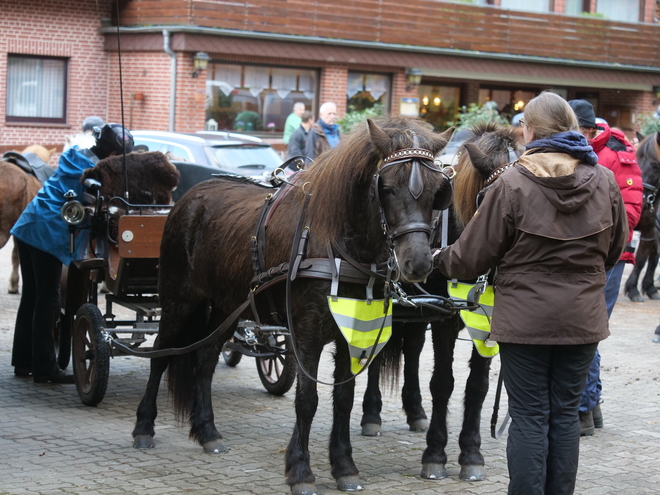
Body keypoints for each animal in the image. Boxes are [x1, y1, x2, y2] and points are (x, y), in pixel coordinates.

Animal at [131, 117, 456, 495]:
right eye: (387, 188)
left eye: (437, 191)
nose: (418, 263)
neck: (335, 243)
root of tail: (188, 198)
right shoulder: (306, 333)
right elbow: (307, 399)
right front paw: (301, 470)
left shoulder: (350, 332)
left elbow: (343, 398)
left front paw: (344, 466)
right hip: (179, 301)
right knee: (161, 355)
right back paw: (144, 428)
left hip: (225, 309)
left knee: (205, 360)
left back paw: (207, 432)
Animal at [358, 122, 524, 482]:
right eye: (493, 201)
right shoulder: (445, 320)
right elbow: (443, 383)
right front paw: (435, 454)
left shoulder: (486, 322)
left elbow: (477, 386)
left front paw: (472, 453)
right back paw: (371, 415)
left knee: (412, 350)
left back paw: (415, 411)